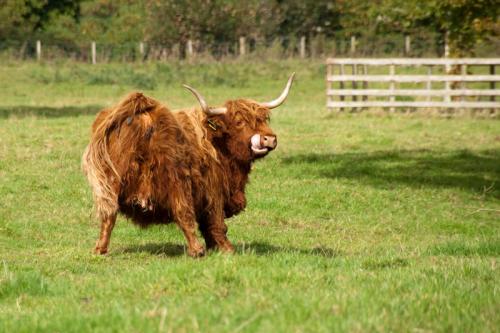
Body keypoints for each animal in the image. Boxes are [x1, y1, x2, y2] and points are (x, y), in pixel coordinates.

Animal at [81, 73, 292, 256]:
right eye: (239, 122)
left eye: (264, 119)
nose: (269, 139)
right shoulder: (213, 190)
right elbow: (216, 222)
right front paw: (226, 250)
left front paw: (215, 247)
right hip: (176, 180)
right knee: (183, 213)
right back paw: (197, 251)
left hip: (110, 181)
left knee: (108, 214)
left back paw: (100, 249)